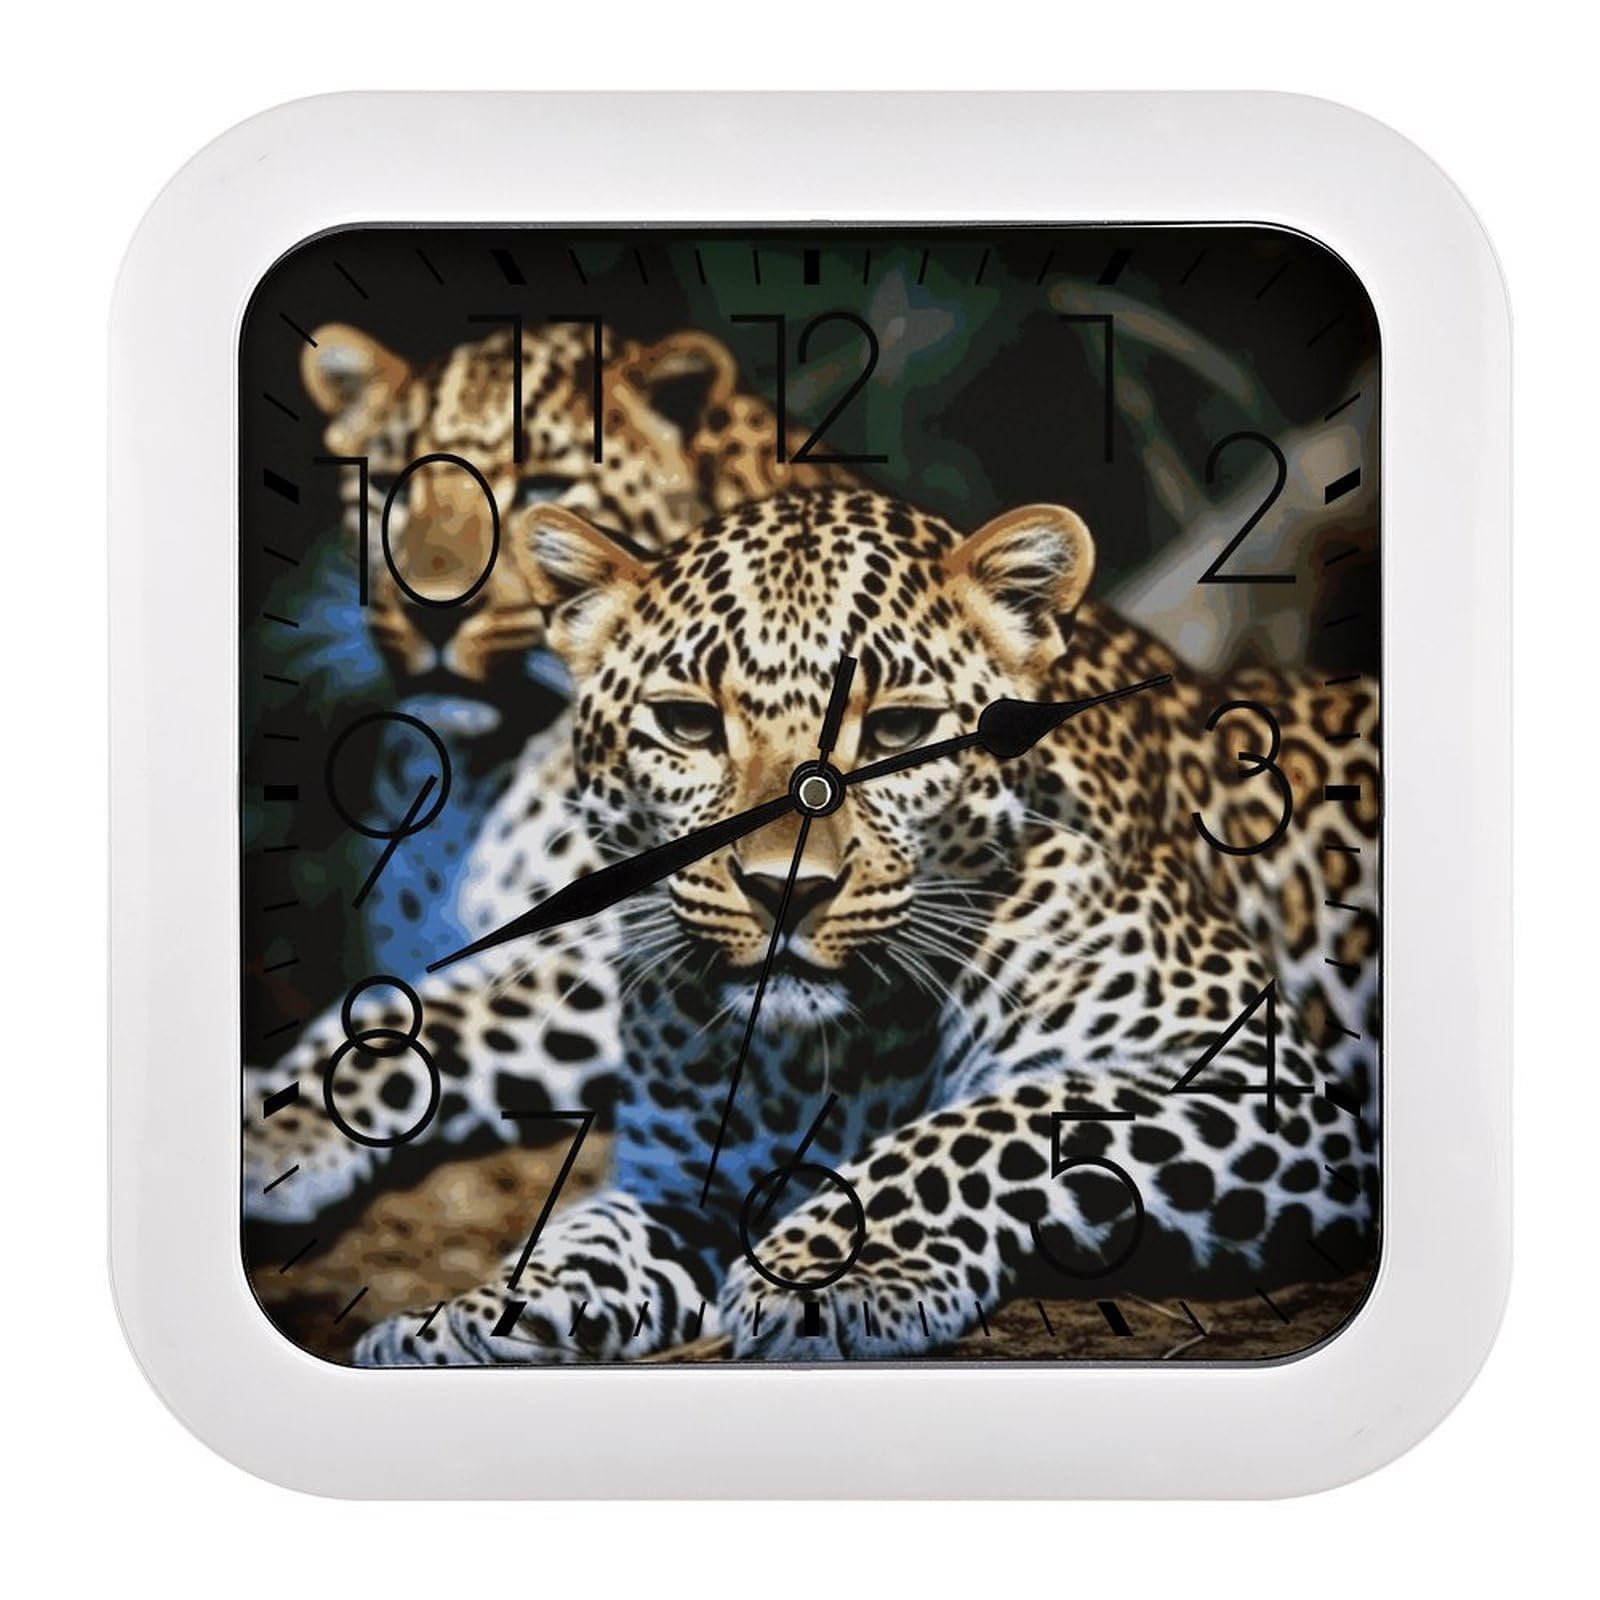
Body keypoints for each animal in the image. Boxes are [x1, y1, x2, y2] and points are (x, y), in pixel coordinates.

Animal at [247, 486, 1379, 1364]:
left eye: (901, 730)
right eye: (688, 724)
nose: (784, 889)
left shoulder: (1267, 1081)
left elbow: (999, 1118)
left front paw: (828, 1267)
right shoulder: (686, 1178)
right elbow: (588, 1233)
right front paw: (463, 1318)